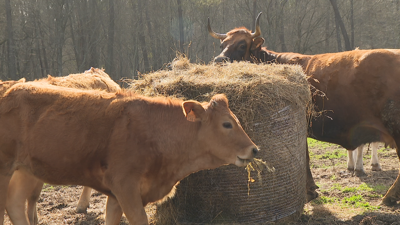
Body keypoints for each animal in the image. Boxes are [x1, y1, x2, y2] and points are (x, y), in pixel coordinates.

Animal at [0, 81, 258, 224]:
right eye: (227, 124)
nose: (254, 149)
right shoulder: (125, 186)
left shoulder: (117, 196)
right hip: (5, 169)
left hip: (26, 170)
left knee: (15, 204)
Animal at [208, 14, 400, 206]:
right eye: (222, 45)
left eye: (242, 45)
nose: (218, 60)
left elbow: (305, 157)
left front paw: (309, 191)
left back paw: (389, 197)